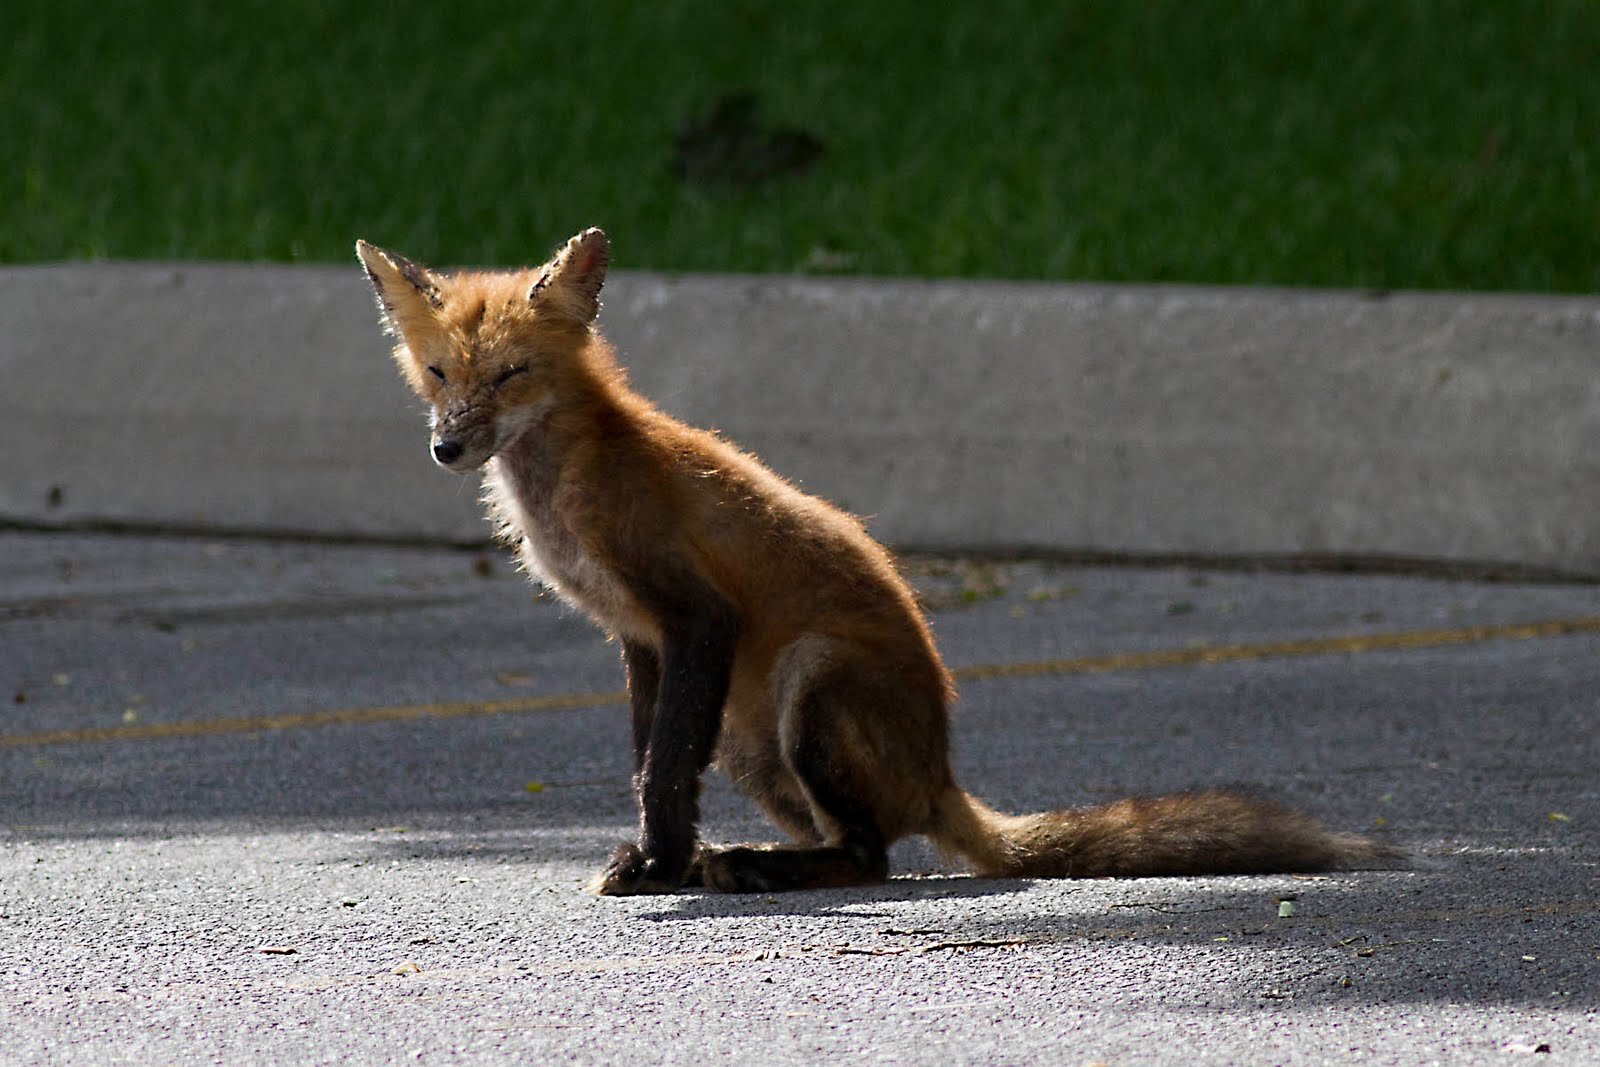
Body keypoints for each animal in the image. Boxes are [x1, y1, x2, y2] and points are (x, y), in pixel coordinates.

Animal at [353, 231, 1388, 895]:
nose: (448, 447)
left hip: (810, 686)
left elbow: (660, 769)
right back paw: (748, 861)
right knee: (853, 837)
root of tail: (940, 772)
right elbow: (652, 759)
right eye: (441, 372)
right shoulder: (642, 639)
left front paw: (661, 867)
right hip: (749, 739)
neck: (567, 483)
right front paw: (659, 861)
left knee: (873, 854)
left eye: (511, 374)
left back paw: (760, 870)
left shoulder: (694, 616)